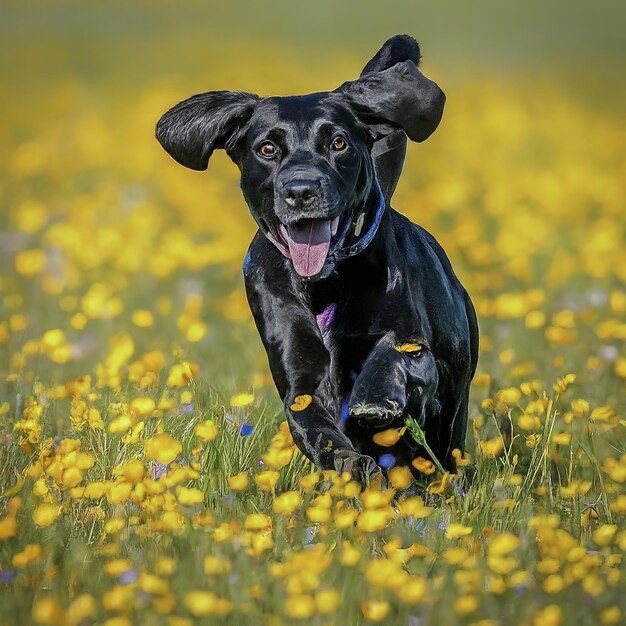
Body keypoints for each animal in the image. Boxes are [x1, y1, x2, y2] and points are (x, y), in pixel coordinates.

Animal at [157, 34, 478, 482]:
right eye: (267, 148)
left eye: (338, 143)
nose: (301, 190)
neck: (328, 284)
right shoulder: (300, 376)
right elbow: (316, 426)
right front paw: (348, 463)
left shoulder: (416, 350)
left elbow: (394, 352)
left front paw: (374, 396)